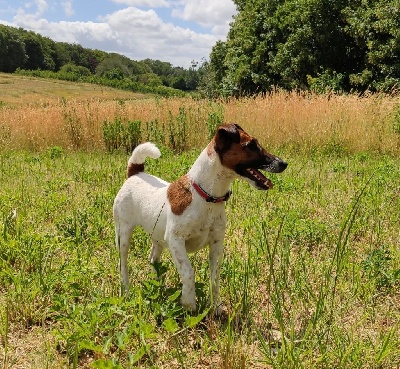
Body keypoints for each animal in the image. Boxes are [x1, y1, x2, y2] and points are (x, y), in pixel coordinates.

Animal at [112, 123, 288, 310]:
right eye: (251, 145)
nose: (284, 163)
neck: (206, 196)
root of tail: (135, 173)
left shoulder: (217, 243)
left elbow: (214, 277)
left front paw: (215, 306)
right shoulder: (176, 240)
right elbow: (188, 273)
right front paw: (189, 303)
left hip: (158, 237)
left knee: (153, 260)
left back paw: (157, 286)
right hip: (123, 233)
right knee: (122, 262)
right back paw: (126, 290)